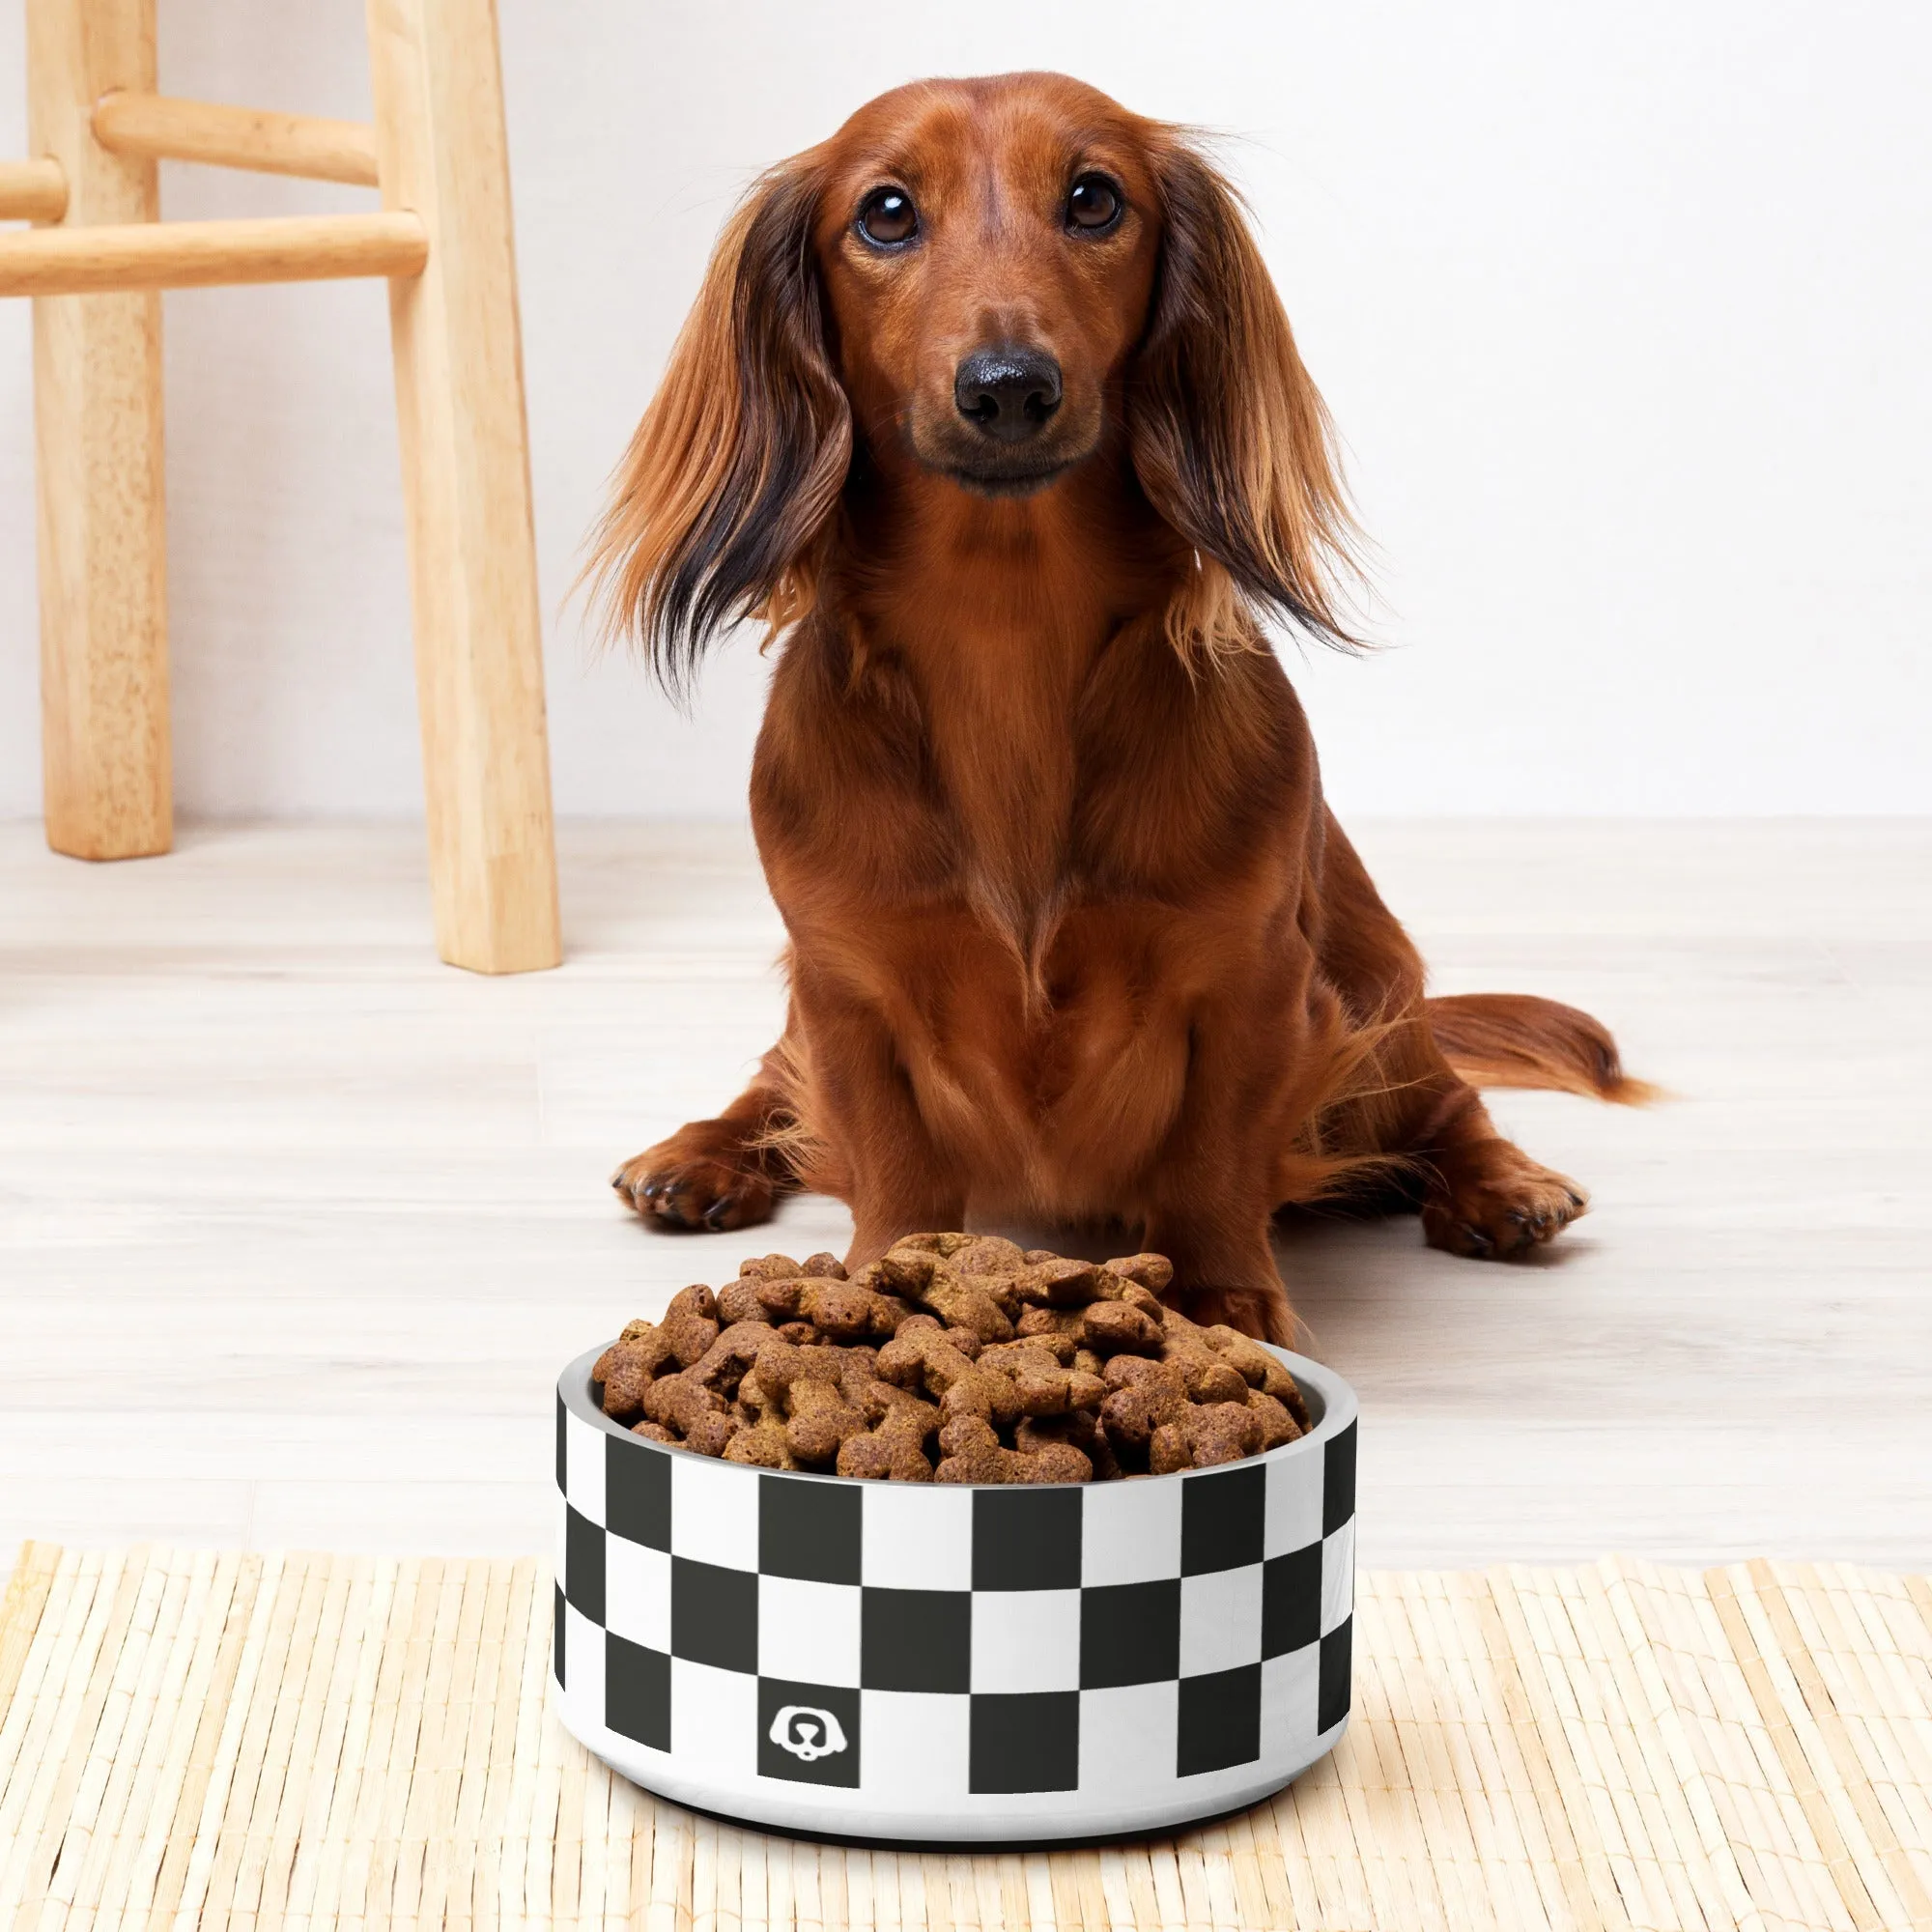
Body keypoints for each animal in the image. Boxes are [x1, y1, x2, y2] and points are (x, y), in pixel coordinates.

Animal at [587, 75, 1646, 1345]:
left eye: (1093, 198)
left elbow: (1211, 1157)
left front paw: (1224, 1297)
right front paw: (884, 1282)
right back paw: (699, 1154)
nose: (1007, 387)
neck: (1005, 635)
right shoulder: (845, 984)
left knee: (1445, 1100)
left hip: (1374, 993)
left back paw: (1502, 1183)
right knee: (770, 1083)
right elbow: (888, 1156)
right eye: (884, 212)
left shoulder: (1252, 979)